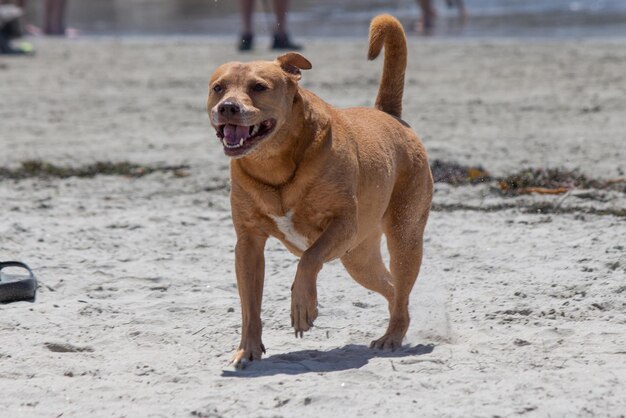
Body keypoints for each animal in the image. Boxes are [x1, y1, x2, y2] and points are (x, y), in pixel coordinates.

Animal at [207, 13, 432, 370]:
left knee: (401, 278)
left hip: (403, 234)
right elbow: (249, 304)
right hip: (358, 258)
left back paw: (392, 336)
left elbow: (308, 259)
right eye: (218, 88)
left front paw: (303, 307)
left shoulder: (342, 225)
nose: (228, 107)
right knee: (393, 288)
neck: (274, 163)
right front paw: (247, 349)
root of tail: (389, 114)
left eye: (259, 87)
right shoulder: (248, 242)